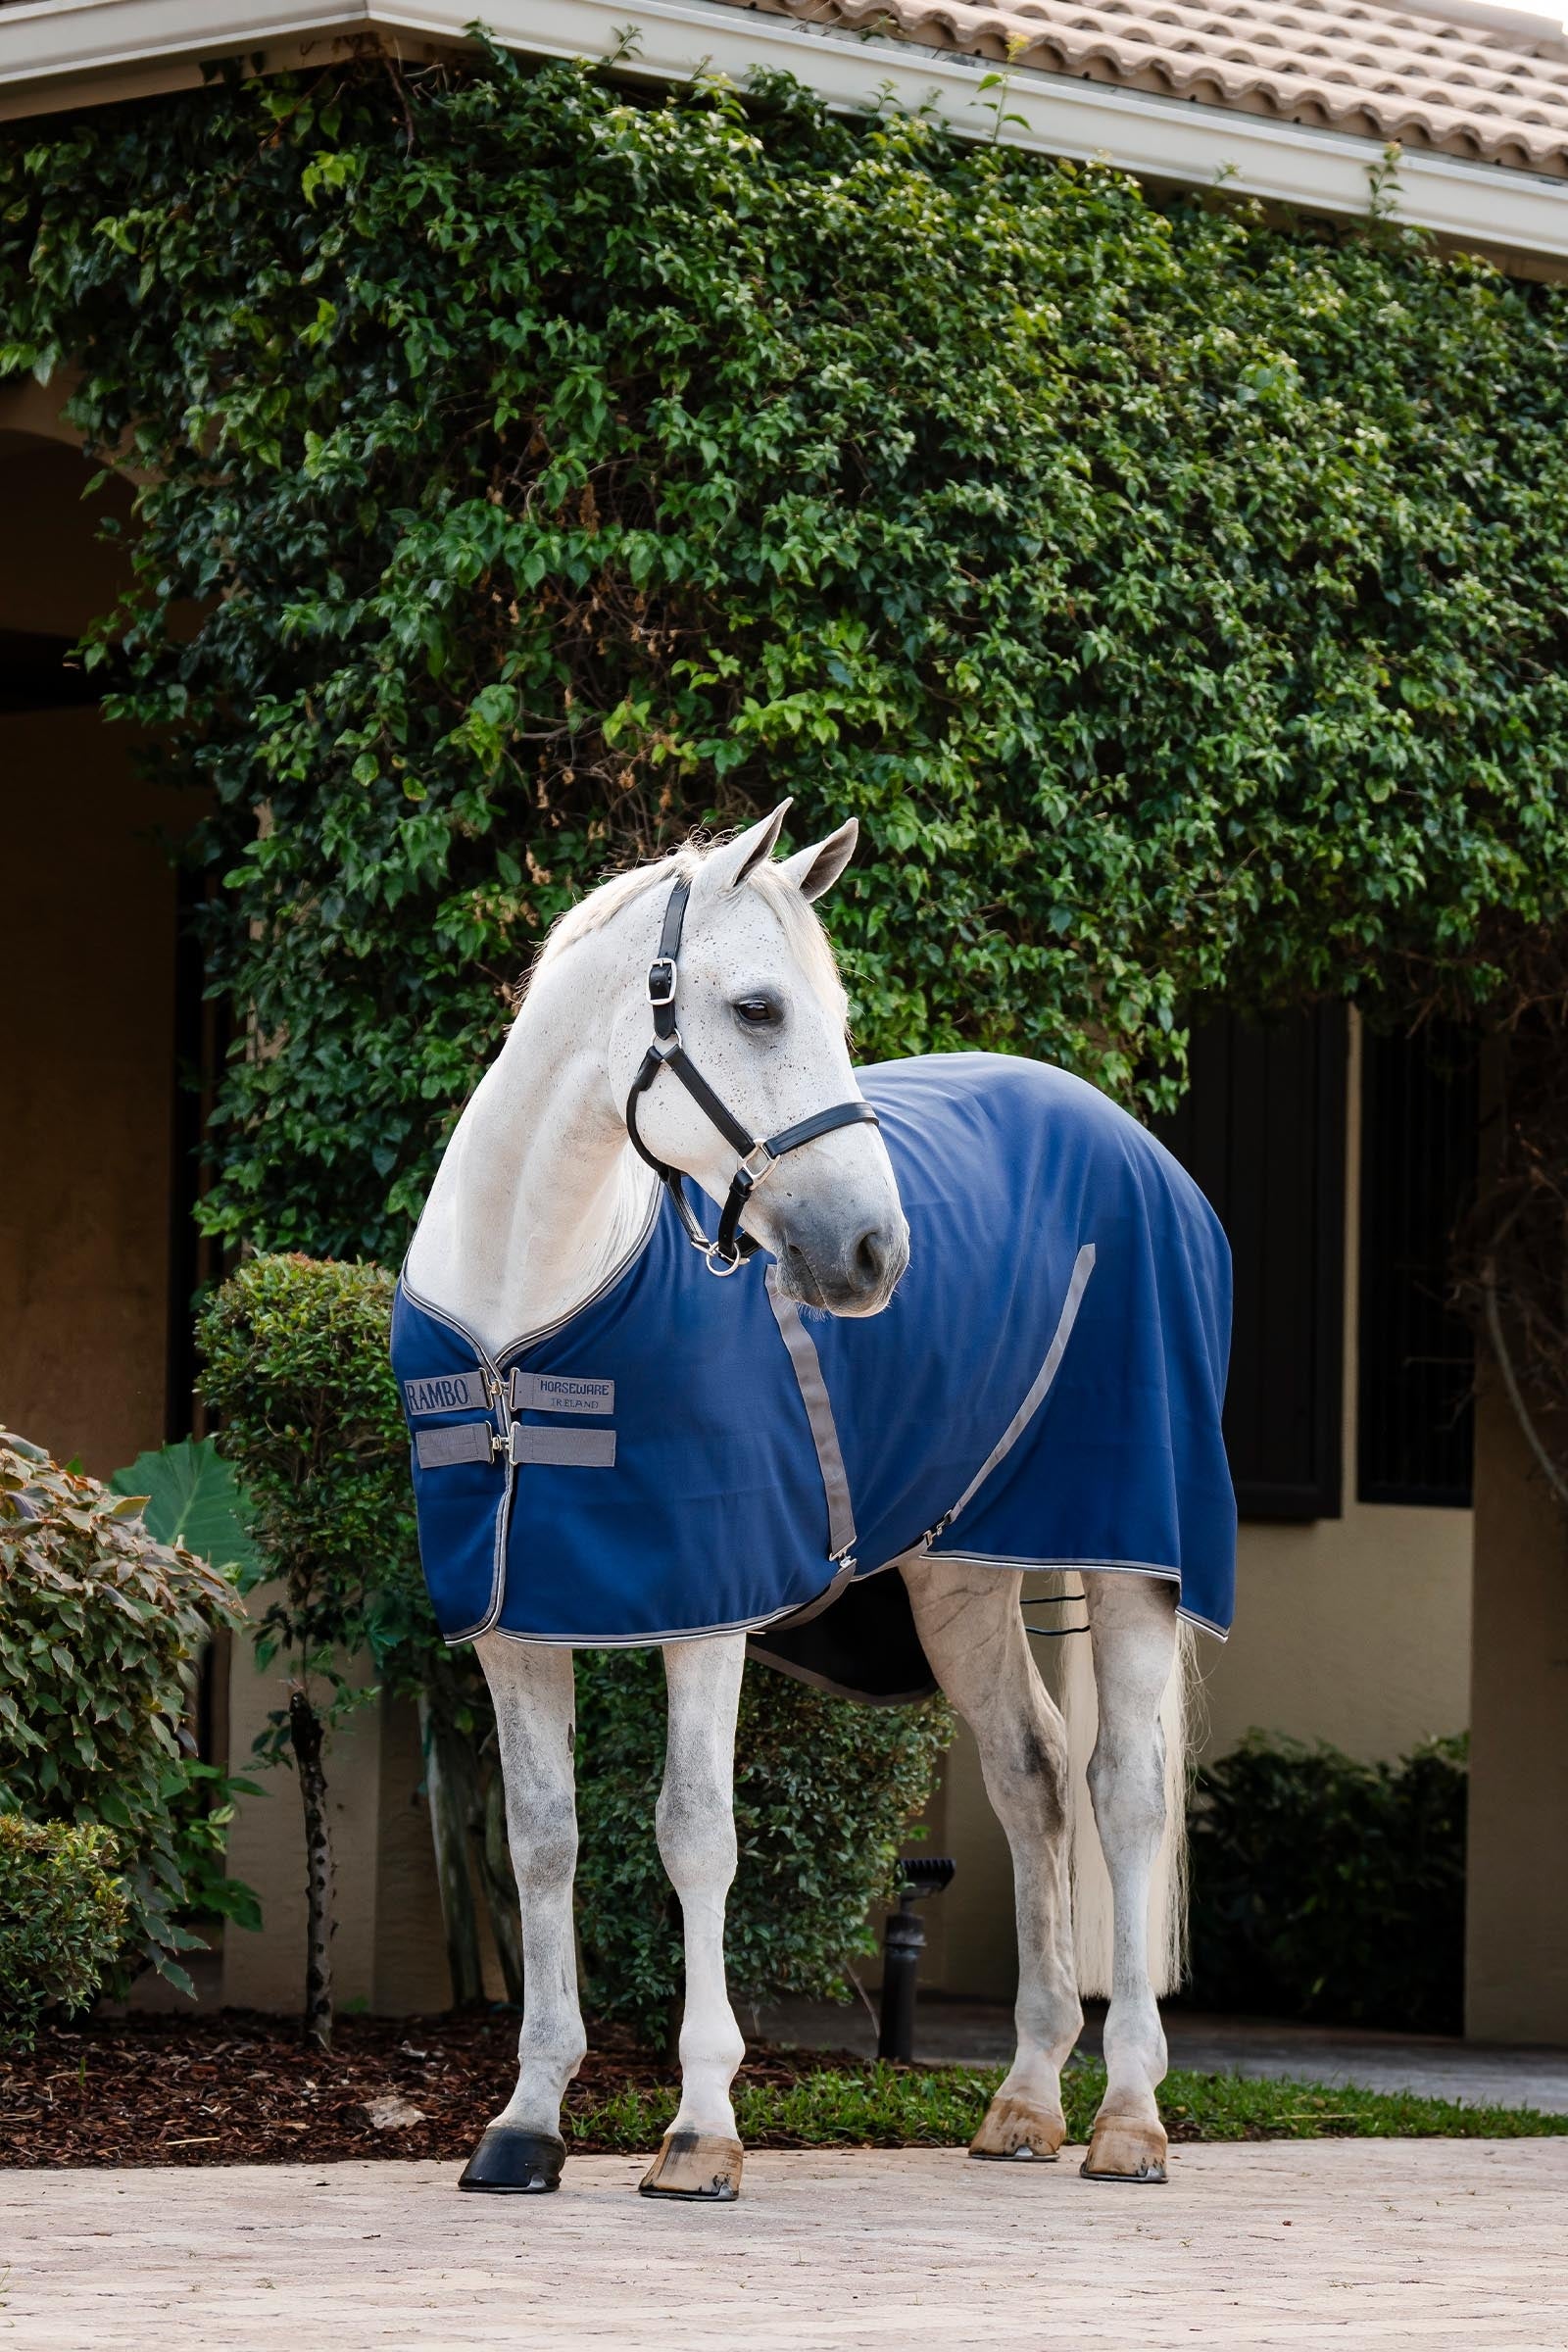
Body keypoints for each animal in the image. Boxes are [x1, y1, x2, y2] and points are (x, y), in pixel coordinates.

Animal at [395, 800, 1234, 2202]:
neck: (529, 1316)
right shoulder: (514, 1620)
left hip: (1133, 1552)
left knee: (1122, 1791)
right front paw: (525, 2122)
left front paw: (698, 2130)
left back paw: (1126, 2118)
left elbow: (693, 1834)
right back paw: (1022, 2101)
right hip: (960, 1574)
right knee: (1030, 1776)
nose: (875, 1256)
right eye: (757, 1008)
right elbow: (541, 1840)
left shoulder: (703, 1613)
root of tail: (1136, 1145)